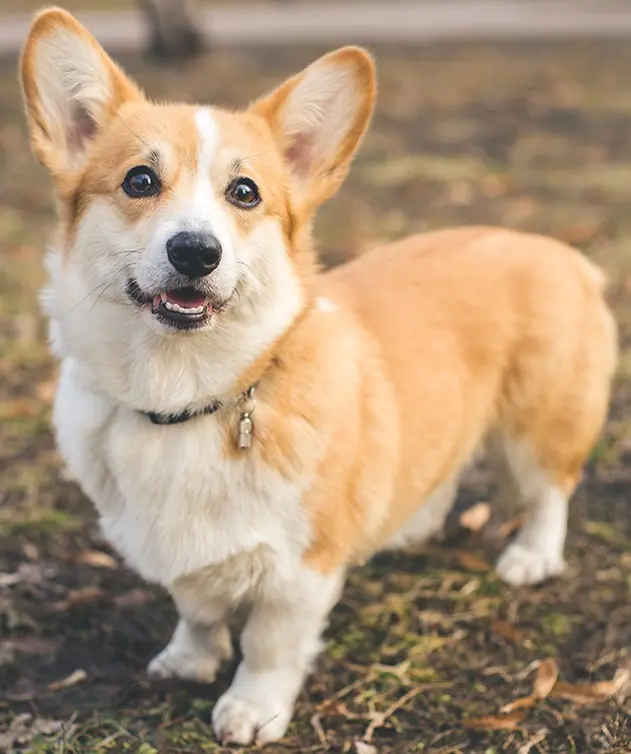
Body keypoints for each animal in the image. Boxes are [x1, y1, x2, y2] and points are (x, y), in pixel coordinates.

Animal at [22, 8, 620, 744]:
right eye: (139, 180)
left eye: (244, 193)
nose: (196, 251)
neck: (187, 395)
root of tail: (560, 251)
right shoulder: (182, 557)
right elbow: (196, 608)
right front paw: (189, 660)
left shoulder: (298, 573)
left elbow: (269, 645)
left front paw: (251, 709)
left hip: (539, 425)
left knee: (548, 493)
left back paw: (531, 557)